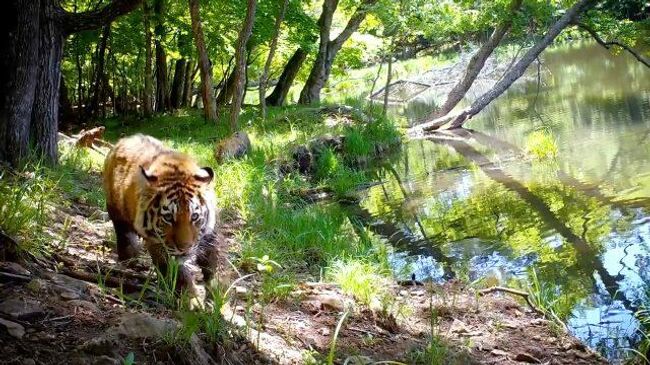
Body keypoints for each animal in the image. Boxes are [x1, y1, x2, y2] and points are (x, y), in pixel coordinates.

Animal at [102, 134, 219, 296]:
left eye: (194, 216)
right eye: (168, 217)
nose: (184, 248)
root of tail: (124, 139)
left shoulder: (209, 235)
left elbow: (212, 261)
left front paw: (217, 290)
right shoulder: (157, 243)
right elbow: (177, 273)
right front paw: (191, 298)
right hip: (116, 211)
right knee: (124, 234)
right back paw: (130, 259)